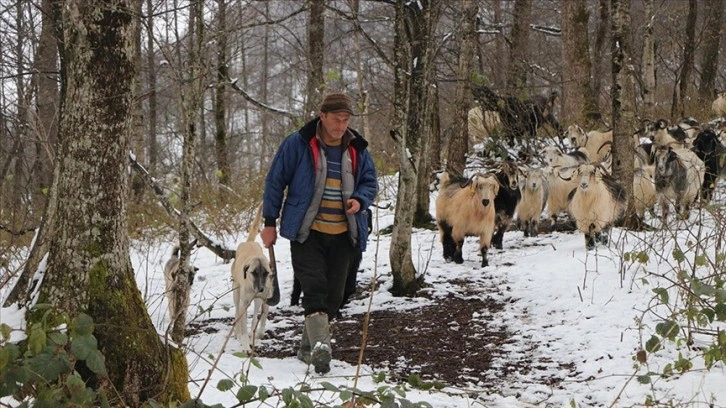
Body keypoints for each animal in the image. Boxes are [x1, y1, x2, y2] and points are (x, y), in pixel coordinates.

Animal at [233, 206, 276, 352]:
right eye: (254, 273)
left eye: (266, 273)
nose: (261, 288)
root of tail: (249, 242)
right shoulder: (243, 303)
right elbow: (243, 326)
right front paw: (245, 345)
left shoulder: (263, 300)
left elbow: (259, 319)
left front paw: (256, 335)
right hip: (236, 294)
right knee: (236, 313)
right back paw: (236, 332)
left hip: (257, 301)